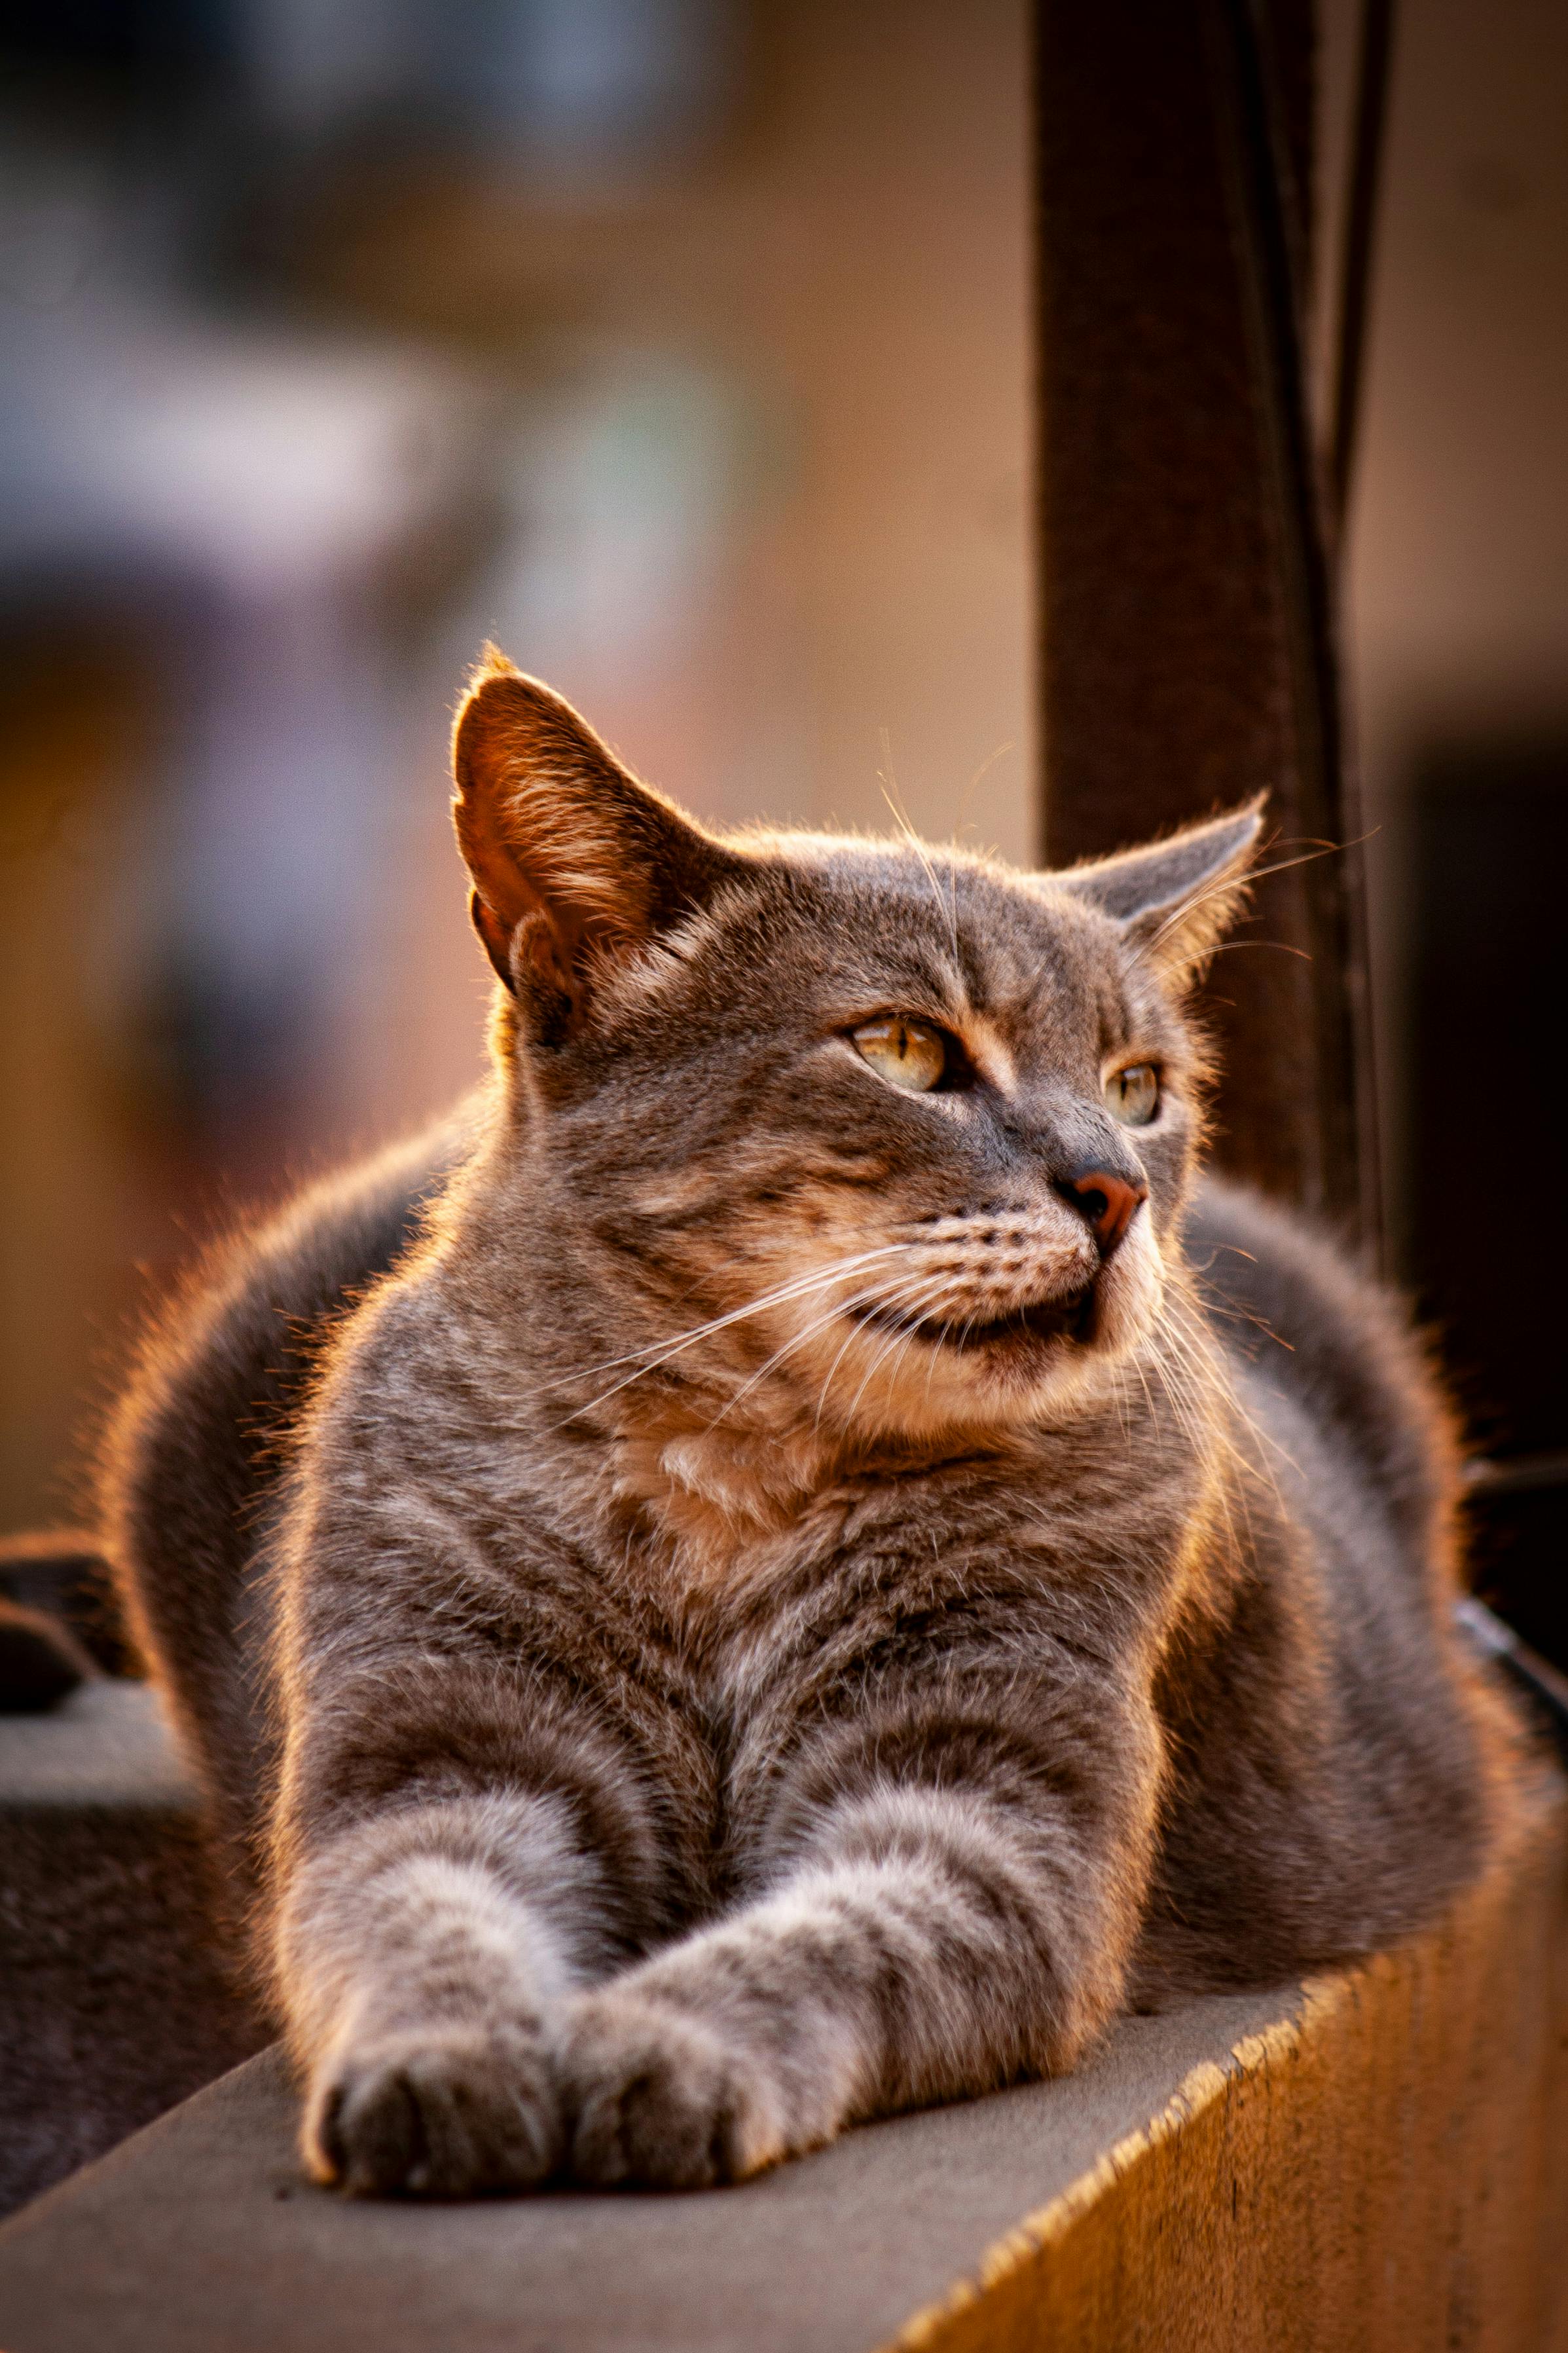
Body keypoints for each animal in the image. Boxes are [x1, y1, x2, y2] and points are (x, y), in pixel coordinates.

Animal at [103, 654, 1523, 2193]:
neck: (733, 1483)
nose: (1117, 1188)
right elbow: (416, 1915)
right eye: (905, 1047)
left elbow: (825, 1942)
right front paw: (444, 2064)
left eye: (1141, 1086)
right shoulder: (435, 1750)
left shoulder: (977, 1800)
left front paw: (658, 2045)